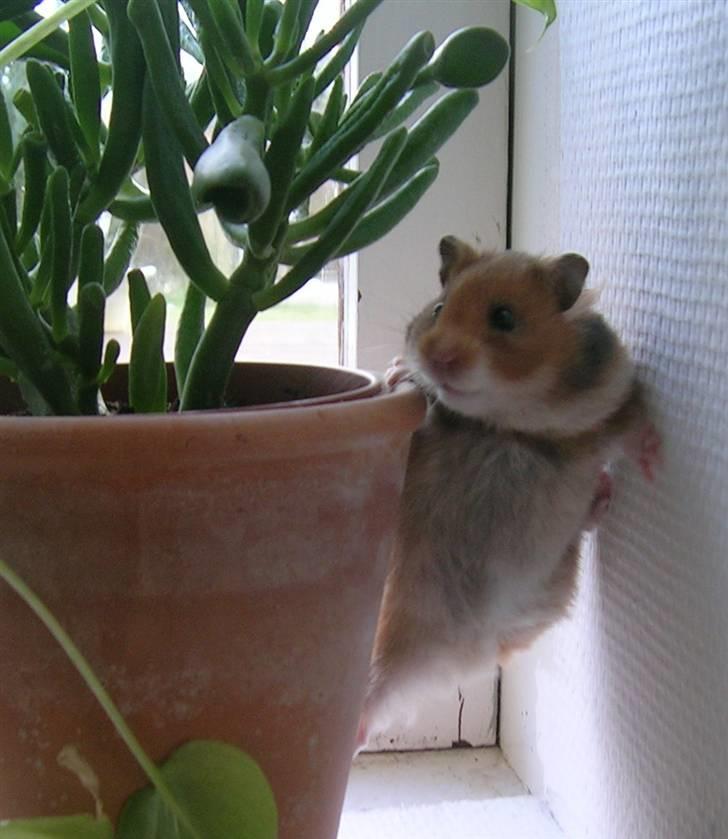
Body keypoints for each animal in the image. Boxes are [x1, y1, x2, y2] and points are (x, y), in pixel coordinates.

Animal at [357, 236, 660, 749]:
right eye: (438, 309)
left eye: (503, 317)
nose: (438, 358)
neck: (504, 423)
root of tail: (470, 651)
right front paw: (400, 374)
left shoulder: (612, 405)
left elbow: (636, 429)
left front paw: (656, 466)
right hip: (391, 635)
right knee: (370, 699)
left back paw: (603, 492)